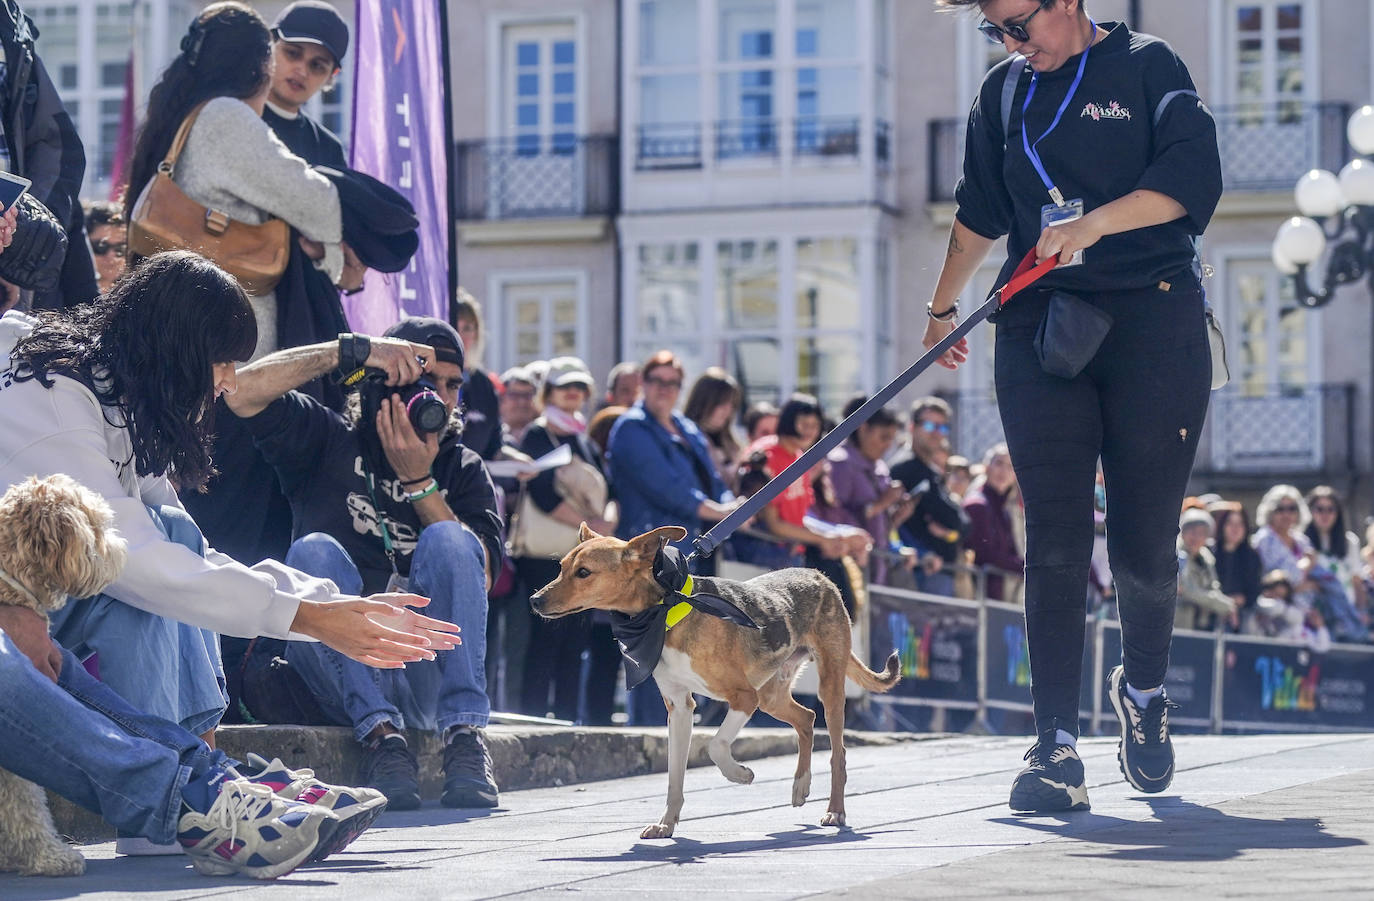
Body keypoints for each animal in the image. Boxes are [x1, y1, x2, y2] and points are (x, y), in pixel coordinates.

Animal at [527, 524, 901, 840]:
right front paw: (666, 824)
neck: (665, 612)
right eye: (561, 567)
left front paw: (740, 774)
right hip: (772, 695)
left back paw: (835, 811)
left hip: (827, 688)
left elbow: (715, 745)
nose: (534, 600)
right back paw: (800, 786)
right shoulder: (680, 708)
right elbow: (674, 776)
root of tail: (820, 576)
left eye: (584, 573)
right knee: (806, 720)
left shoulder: (743, 697)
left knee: (837, 753)